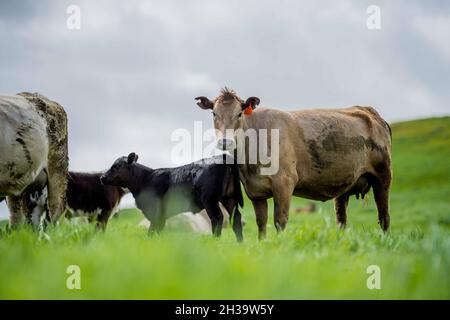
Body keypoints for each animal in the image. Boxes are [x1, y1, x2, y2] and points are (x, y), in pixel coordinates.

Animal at [100, 154, 244, 241]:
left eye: (116, 166)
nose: (102, 177)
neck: (145, 180)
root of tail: (222, 156)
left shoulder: (156, 213)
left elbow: (151, 231)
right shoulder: (161, 217)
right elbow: (157, 231)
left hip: (210, 200)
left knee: (217, 218)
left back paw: (215, 241)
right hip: (229, 198)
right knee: (236, 219)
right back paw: (240, 244)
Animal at [195, 89, 392, 239]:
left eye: (239, 113)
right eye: (214, 113)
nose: (225, 141)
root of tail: (369, 111)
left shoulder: (284, 183)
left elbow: (279, 220)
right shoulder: (255, 191)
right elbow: (261, 222)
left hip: (383, 177)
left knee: (384, 216)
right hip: (344, 185)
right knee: (341, 218)